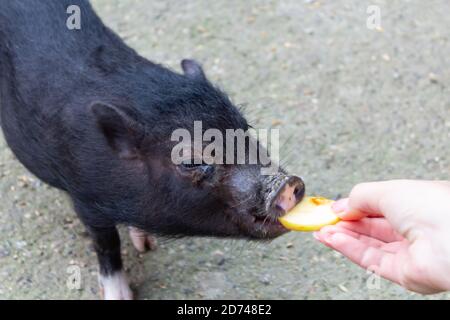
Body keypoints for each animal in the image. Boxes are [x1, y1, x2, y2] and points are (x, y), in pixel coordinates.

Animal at [0, 0, 304, 300]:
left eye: (244, 127)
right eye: (190, 162)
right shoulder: (84, 198)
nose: (288, 183)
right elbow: (106, 243)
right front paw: (120, 295)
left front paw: (146, 246)